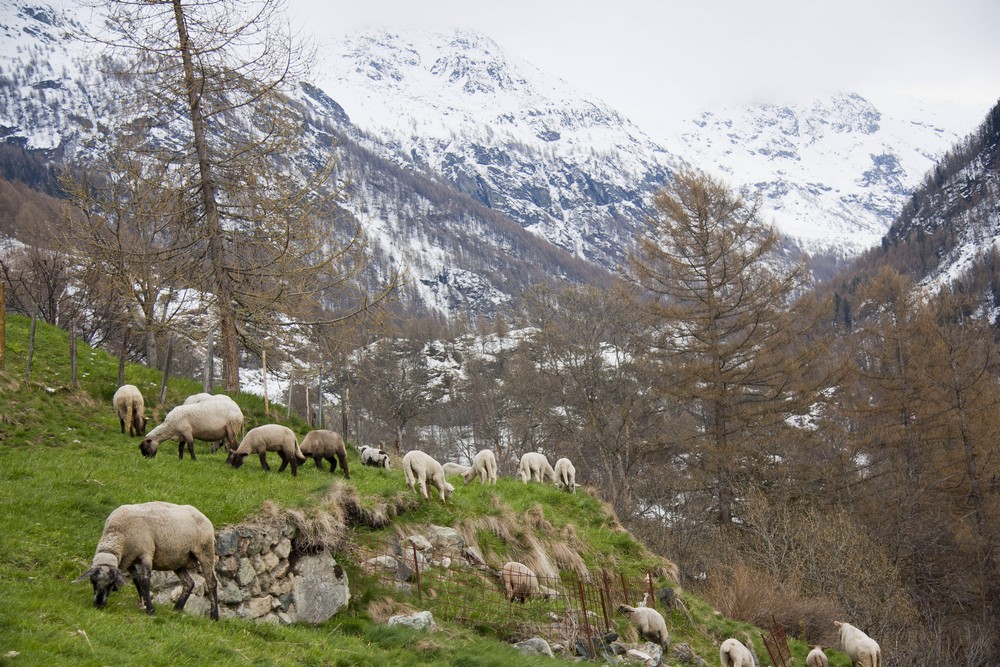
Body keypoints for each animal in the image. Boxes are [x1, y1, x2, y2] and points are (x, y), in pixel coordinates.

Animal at [73, 500, 221, 620]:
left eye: (110, 584)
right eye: (92, 581)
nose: (98, 605)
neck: (118, 534)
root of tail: (201, 514)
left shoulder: (146, 554)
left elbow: (145, 581)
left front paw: (150, 610)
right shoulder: (130, 560)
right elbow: (136, 581)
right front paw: (142, 603)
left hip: (205, 551)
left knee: (211, 582)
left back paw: (214, 616)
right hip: (177, 561)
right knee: (189, 583)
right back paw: (177, 609)